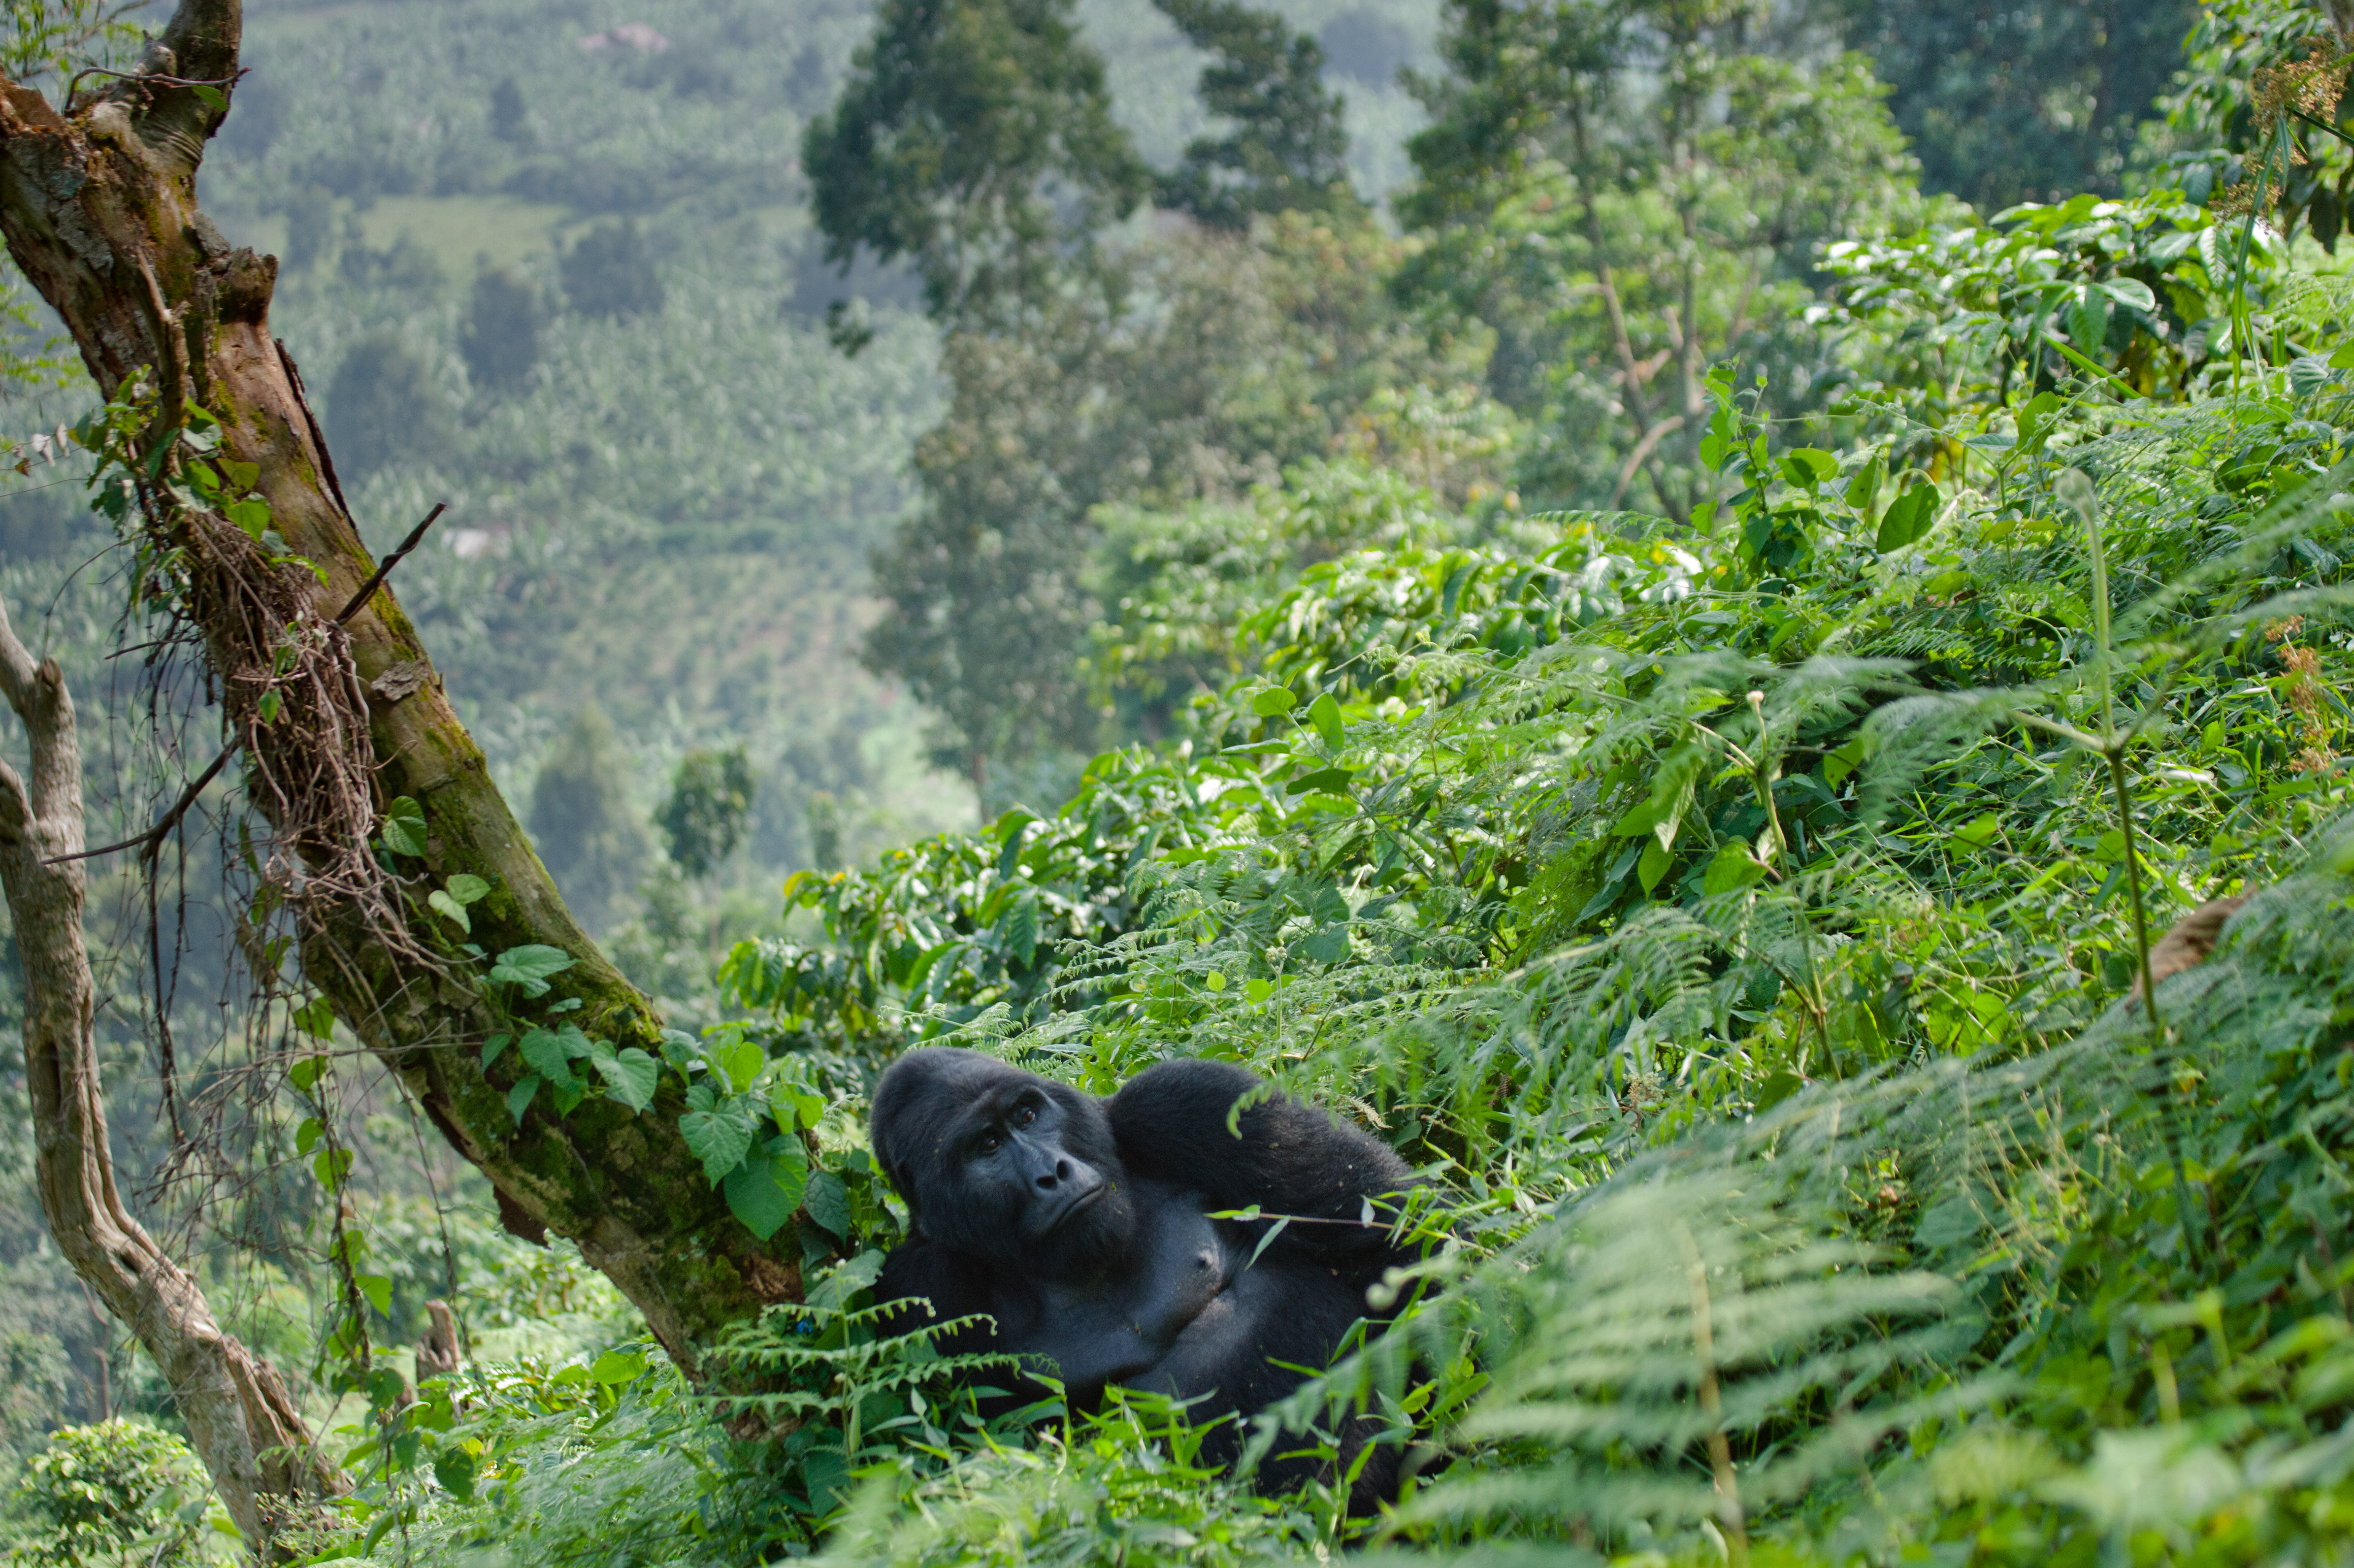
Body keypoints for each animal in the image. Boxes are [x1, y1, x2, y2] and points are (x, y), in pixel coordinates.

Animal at [866, 1045, 1412, 1497]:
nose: (1053, 1173)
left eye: (1028, 1114)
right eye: (988, 1146)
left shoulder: (1188, 1102)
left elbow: (1392, 1230)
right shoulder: (920, 1286)